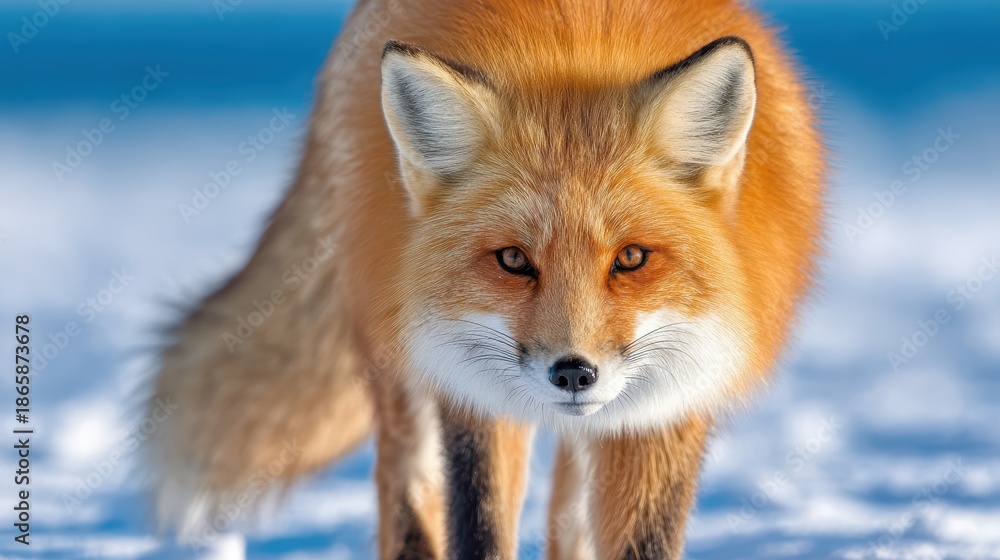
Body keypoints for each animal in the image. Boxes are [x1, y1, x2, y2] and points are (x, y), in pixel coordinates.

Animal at [147, 0, 824, 558]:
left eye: (631, 258)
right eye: (514, 260)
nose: (573, 373)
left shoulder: (664, 408)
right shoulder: (472, 393)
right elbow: (478, 529)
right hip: (404, 368)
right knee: (407, 492)